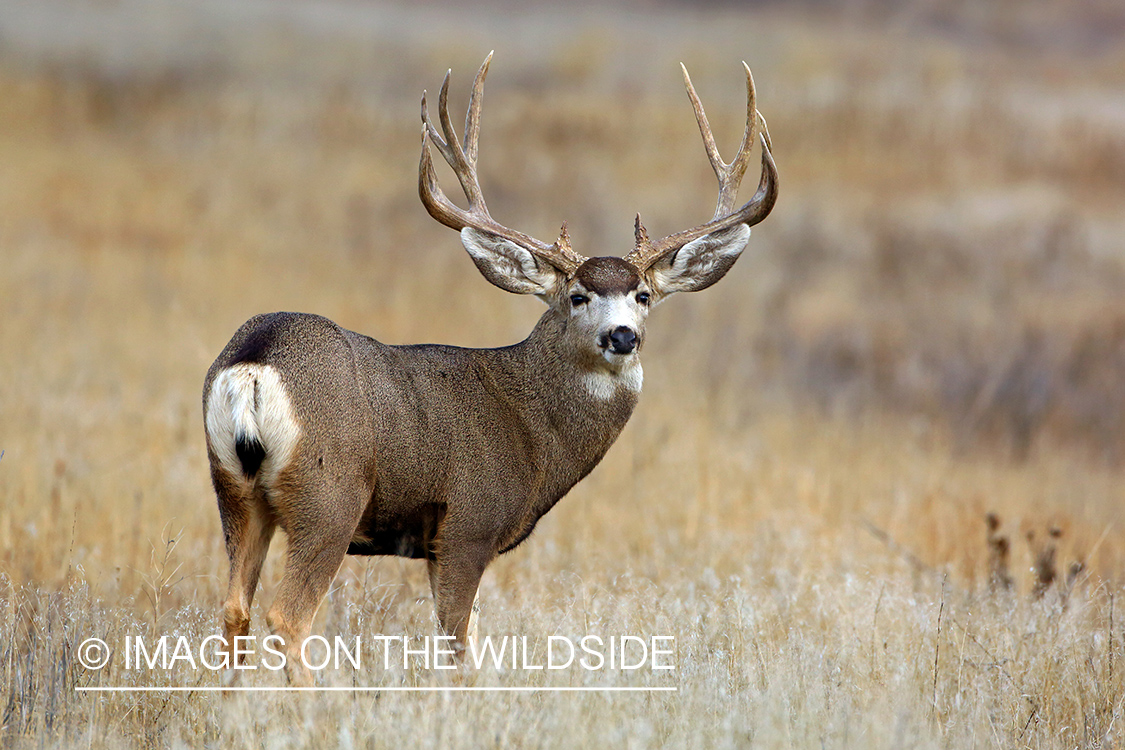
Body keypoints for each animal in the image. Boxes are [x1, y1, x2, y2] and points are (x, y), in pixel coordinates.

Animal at [204, 52, 774, 688]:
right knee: (288, 616)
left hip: (234, 487)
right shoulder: (467, 525)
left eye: (644, 295)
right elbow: (456, 647)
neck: (530, 425)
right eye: (577, 295)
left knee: (234, 607)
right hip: (330, 496)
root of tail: (253, 363)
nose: (622, 335)